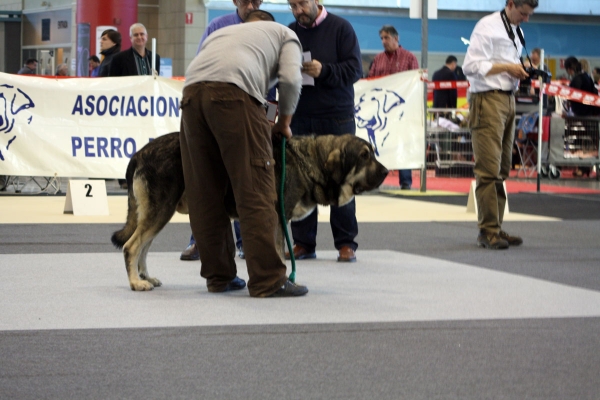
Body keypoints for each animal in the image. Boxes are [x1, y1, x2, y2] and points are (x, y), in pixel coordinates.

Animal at [112, 131, 390, 290]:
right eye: (364, 156)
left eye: (372, 153)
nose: (388, 172)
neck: (311, 161)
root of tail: (139, 154)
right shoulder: (278, 220)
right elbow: (280, 256)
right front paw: (285, 283)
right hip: (161, 209)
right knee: (131, 247)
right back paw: (136, 282)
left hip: (158, 212)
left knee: (143, 247)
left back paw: (146, 277)